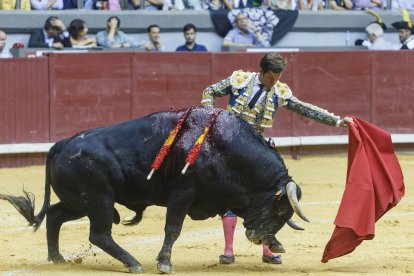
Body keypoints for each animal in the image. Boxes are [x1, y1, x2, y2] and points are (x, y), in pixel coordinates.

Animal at [0, 106, 308, 272]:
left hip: (78, 202)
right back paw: (133, 263)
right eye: (280, 210)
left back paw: (58, 259)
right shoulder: (183, 192)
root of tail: (61, 144)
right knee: (99, 234)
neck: (222, 147)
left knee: (54, 216)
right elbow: (173, 228)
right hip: (98, 199)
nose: (261, 238)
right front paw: (164, 263)